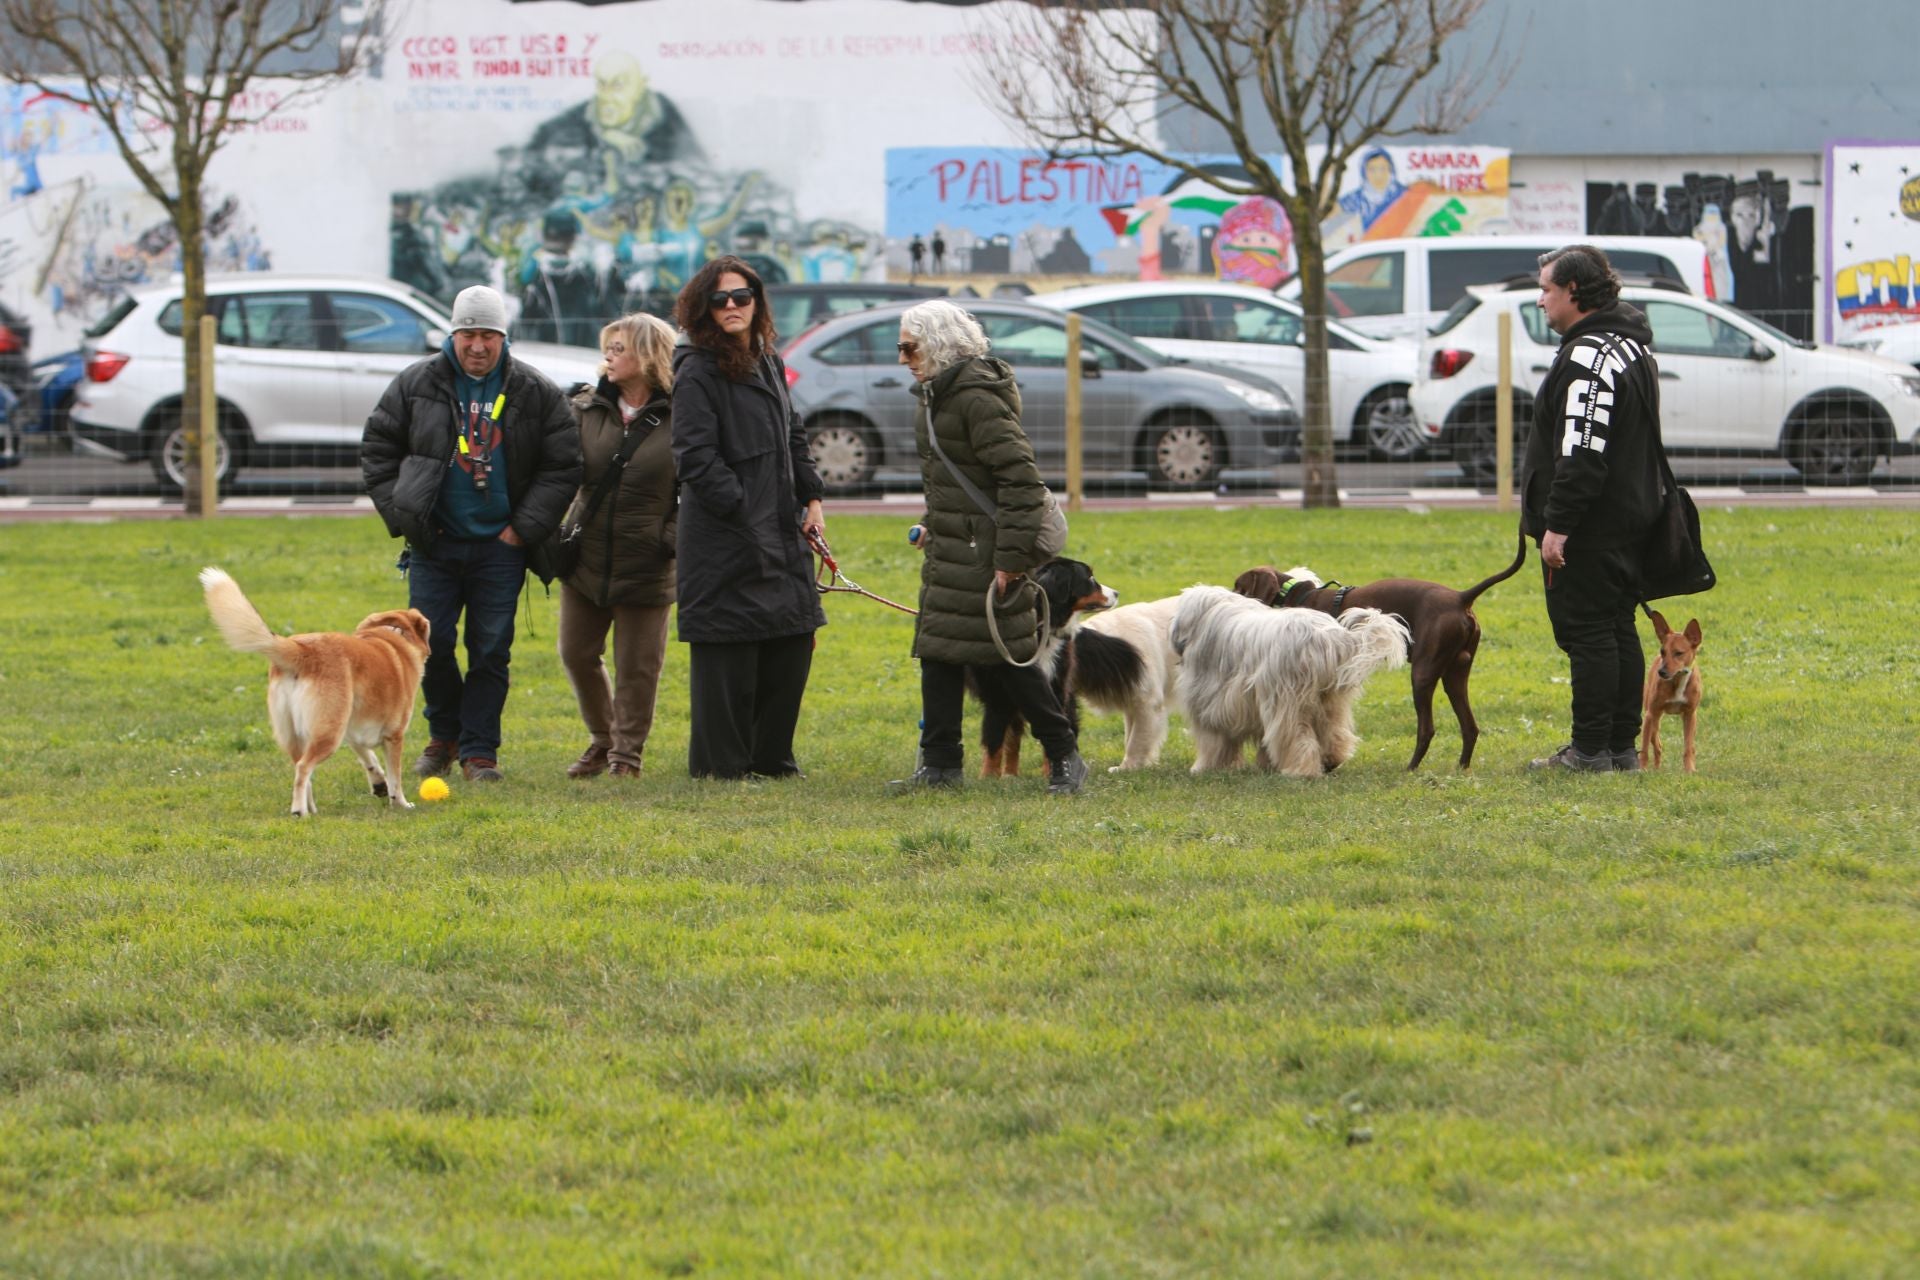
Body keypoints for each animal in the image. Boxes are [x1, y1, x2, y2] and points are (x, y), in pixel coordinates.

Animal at [199, 568, 432, 817]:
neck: (394, 635)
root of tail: (302, 650)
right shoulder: (394, 735)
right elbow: (395, 777)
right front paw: (400, 803)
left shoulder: (351, 729)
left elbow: (369, 758)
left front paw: (379, 784)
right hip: (328, 733)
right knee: (304, 767)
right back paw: (299, 811)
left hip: (302, 732)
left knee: (300, 768)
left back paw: (310, 810)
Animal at [1159, 587, 1420, 775]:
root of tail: (1328, 638)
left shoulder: (1211, 705)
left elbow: (1215, 741)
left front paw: (1205, 767)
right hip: (1329, 699)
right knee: (1334, 731)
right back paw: (1331, 760)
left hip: (1288, 699)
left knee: (1296, 735)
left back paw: (1300, 770)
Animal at [1244, 533, 1528, 771]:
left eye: (1239, 584)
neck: (1295, 595)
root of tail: (1461, 598)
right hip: (1455, 676)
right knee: (1470, 727)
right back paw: (1461, 768)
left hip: (1422, 674)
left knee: (1427, 729)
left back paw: (1411, 768)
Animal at [1643, 614, 1704, 775]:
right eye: (1662, 651)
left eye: (1679, 653)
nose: (1661, 672)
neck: (1678, 680)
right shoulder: (1650, 714)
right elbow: (1644, 748)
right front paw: (1641, 769)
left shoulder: (1690, 715)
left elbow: (1688, 747)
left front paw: (1690, 770)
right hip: (1652, 719)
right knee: (1656, 744)